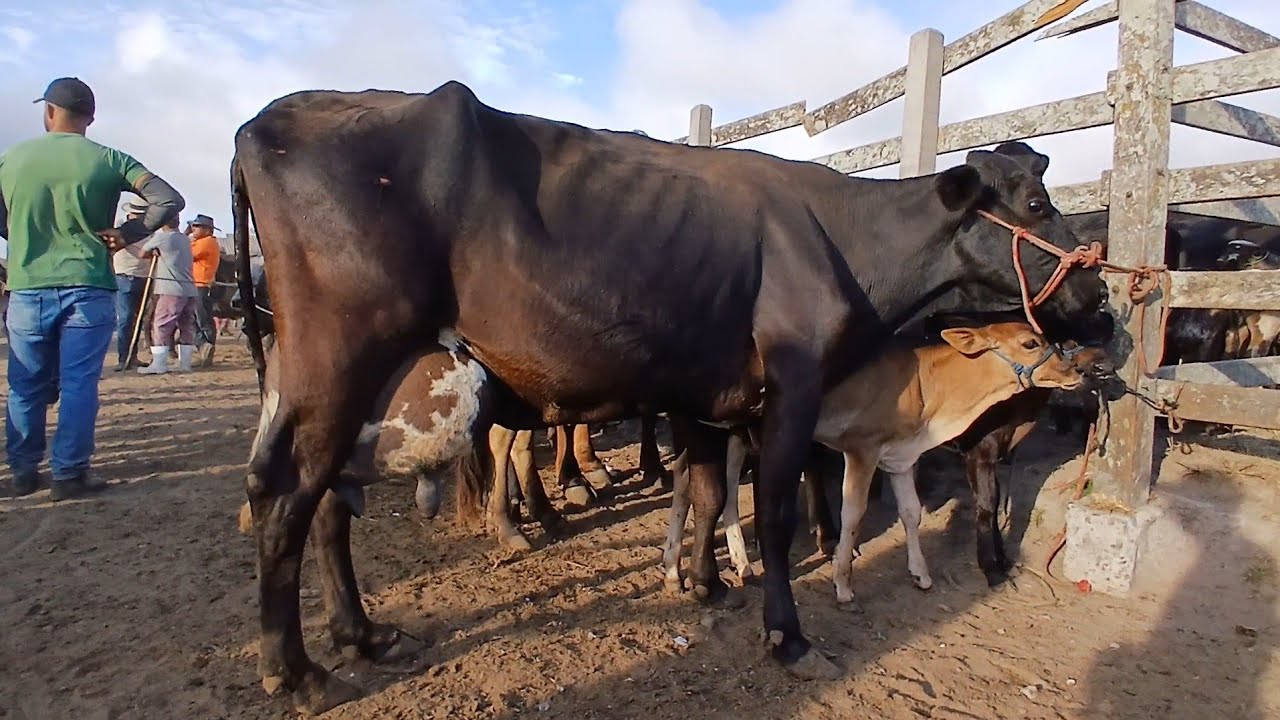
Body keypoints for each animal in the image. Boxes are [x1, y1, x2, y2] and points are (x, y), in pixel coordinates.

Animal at [231, 81, 1108, 713]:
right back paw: (296, 672)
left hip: (355, 388)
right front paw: (786, 634)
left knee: (328, 506)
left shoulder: (705, 397)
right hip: (338, 360)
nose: (1098, 290)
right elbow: (774, 513)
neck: (843, 242)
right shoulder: (791, 390)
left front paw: (704, 583)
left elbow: (709, 492)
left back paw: (363, 635)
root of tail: (271, 118)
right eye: (1036, 204)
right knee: (284, 497)